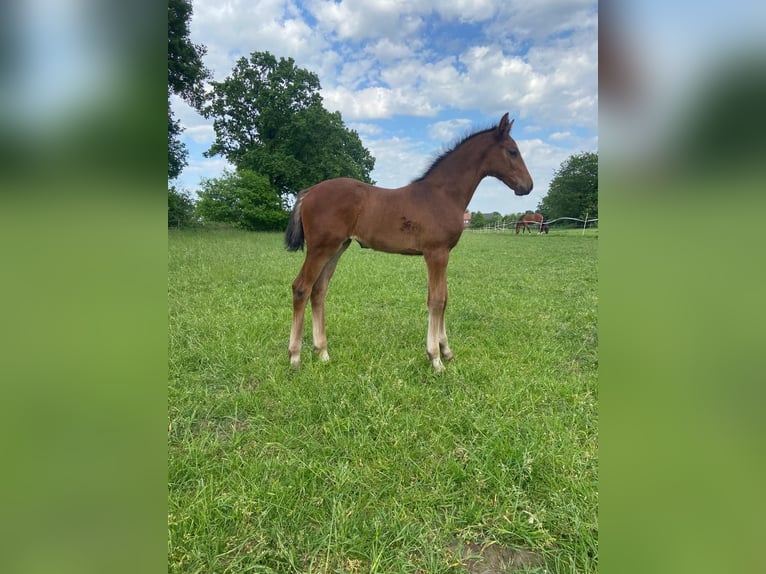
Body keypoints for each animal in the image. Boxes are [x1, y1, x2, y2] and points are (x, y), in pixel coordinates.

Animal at [286, 113, 536, 374]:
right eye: (512, 151)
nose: (528, 186)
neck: (443, 194)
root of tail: (310, 191)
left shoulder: (442, 254)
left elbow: (444, 298)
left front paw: (446, 351)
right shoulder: (436, 253)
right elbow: (436, 300)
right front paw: (435, 358)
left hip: (337, 248)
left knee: (319, 290)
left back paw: (323, 353)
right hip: (320, 248)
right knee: (301, 288)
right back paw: (295, 357)